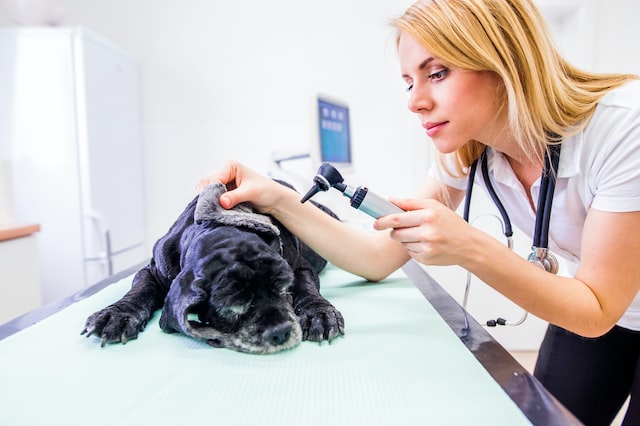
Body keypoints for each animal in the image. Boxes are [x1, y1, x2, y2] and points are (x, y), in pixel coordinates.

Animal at [85, 181, 348, 354]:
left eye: (283, 289)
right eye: (231, 310)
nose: (281, 331)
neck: (218, 227)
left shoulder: (300, 267)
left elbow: (306, 290)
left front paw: (318, 314)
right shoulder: (153, 270)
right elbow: (140, 290)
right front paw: (117, 314)